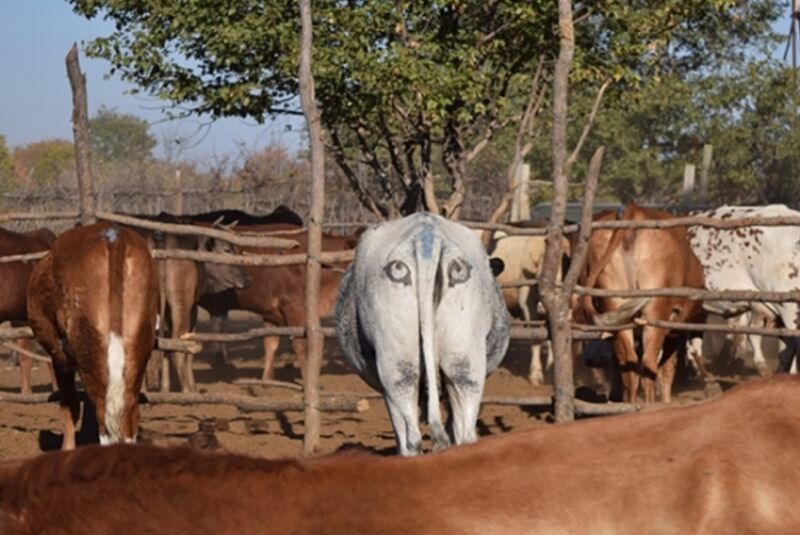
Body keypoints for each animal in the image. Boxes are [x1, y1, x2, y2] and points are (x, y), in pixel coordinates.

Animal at [26, 222, 159, 449]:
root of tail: (114, 236)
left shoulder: (60, 357)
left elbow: (69, 406)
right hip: (138, 347)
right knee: (129, 416)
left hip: (89, 349)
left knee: (103, 417)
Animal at [199, 224, 359, 382]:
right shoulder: (293, 306)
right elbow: (301, 344)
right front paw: (308, 380)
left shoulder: (270, 312)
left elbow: (271, 343)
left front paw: (267, 381)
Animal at [574, 204, 705, 403]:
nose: (591, 360)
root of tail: (633, 210)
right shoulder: (675, 329)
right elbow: (667, 369)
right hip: (654, 311)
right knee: (648, 365)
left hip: (616, 305)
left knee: (628, 365)